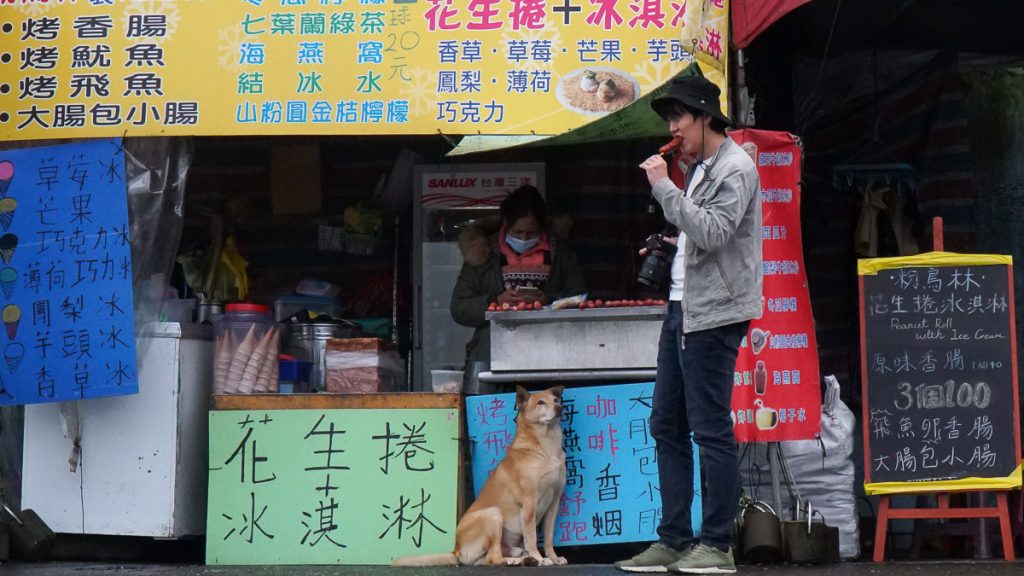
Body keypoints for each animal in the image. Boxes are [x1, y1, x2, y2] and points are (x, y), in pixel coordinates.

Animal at [391, 385, 569, 565]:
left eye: (556, 400)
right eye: (540, 402)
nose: (559, 407)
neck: (547, 446)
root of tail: (456, 550)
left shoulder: (554, 502)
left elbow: (548, 537)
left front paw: (553, 557)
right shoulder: (529, 503)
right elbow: (531, 537)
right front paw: (540, 558)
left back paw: (524, 559)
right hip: (493, 514)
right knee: (493, 559)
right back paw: (520, 561)